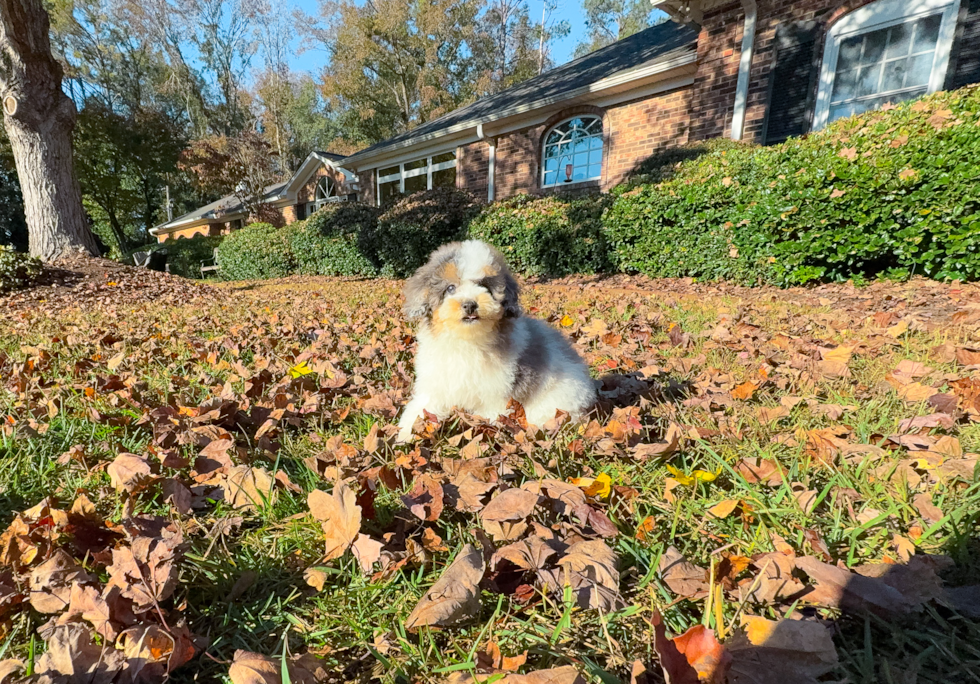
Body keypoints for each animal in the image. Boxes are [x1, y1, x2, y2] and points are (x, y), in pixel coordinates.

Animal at [394, 240, 592, 444]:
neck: (467, 340)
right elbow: (420, 408)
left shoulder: (496, 394)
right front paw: (405, 433)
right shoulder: (435, 383)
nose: (470, 304)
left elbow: (491, 416)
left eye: (484, 285)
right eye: (450, 288)